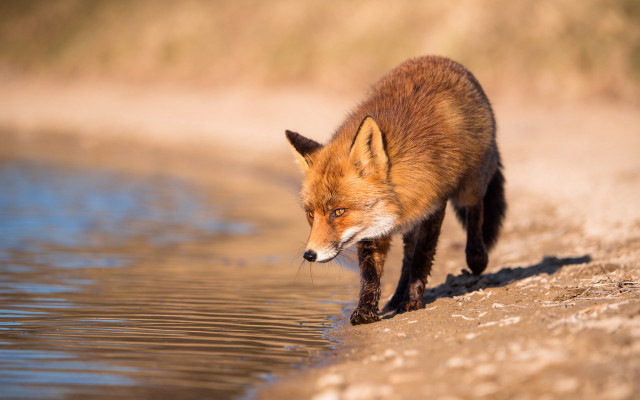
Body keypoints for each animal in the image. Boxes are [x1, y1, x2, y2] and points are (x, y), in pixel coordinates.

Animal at [285, 55, 506, 325]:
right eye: (310, 214)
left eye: (338, 212)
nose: (309, 255)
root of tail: (438, 58)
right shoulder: (371, 227)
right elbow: (371, 274)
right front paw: (366, 310)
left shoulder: (433, 206)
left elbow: (422, 258)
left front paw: (413, 301)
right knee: (407, 256)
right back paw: (398, 294)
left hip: (469, 187)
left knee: (475, 211)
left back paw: (476, 257)